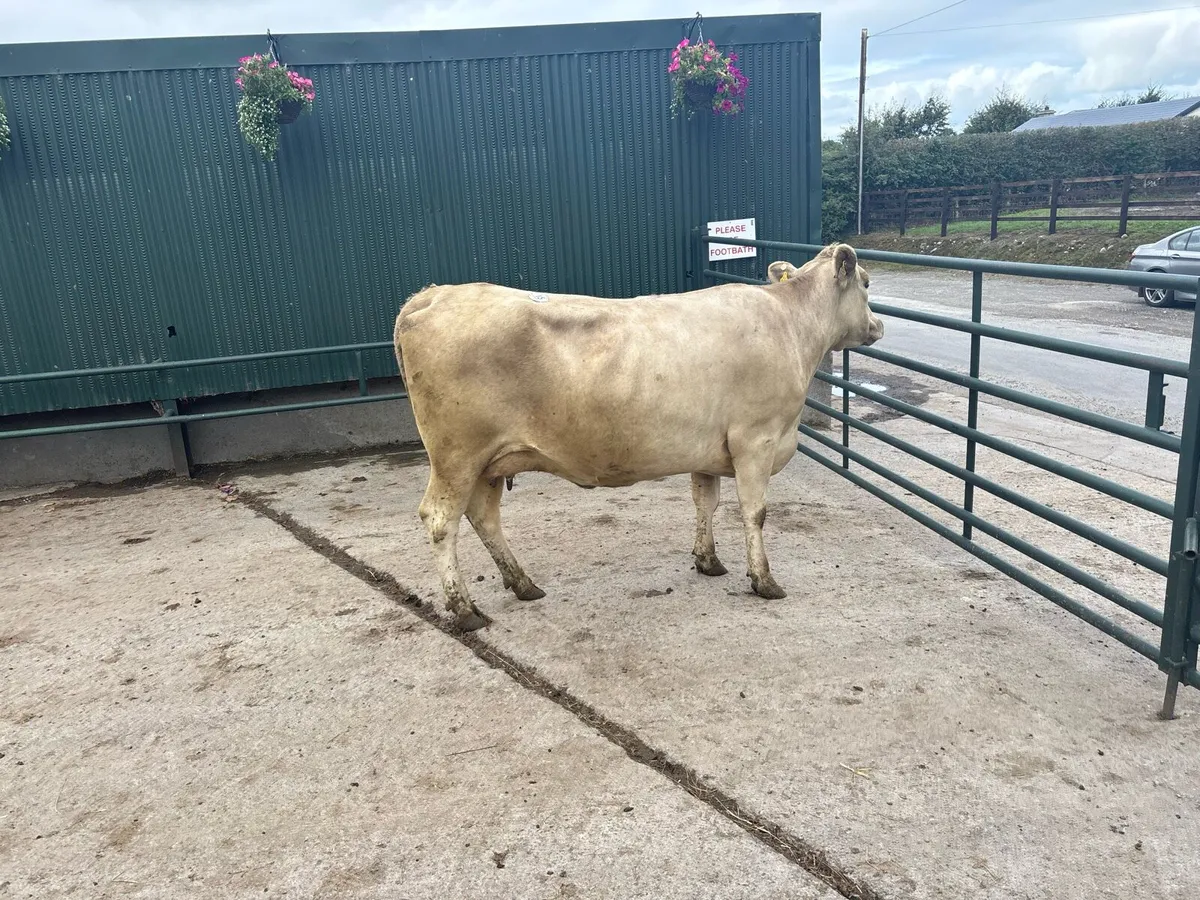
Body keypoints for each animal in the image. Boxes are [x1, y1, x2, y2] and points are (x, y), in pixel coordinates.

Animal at [392, 242, 883, 631]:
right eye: (866, 282)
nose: (878, 326)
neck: (789, 324)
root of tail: (433, 294)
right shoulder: (756, 440)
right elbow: (755, 513)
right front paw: (763, 580)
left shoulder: (710, 449)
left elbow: (706, 502)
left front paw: (708, 561)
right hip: (457, 456)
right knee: (441, 520)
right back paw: (464, 609)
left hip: (489, 461)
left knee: (483, 516)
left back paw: (523, 584)